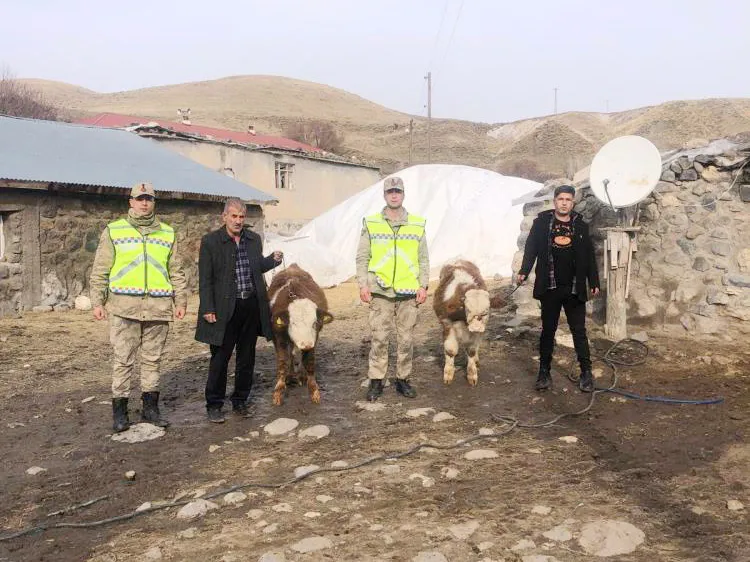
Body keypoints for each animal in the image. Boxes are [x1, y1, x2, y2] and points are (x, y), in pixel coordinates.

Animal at [268, 264, 333, 406]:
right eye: (293, 323)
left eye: (314, 323)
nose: (306, 344)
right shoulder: (279, 337)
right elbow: (283, 362)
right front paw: (278, 393)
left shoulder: (314, 338)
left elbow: (309, 362)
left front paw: (314, 392)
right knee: (291, 354)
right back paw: (290, 375)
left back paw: (302, 376)